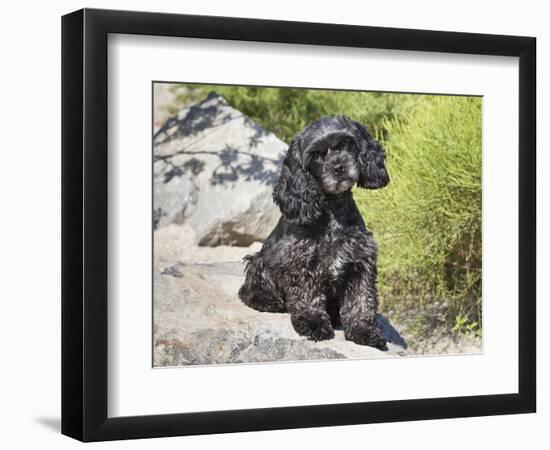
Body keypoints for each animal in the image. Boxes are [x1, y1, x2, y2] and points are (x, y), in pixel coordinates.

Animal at [239, 115, 390, 348]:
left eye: (345, 144)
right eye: (316, 155)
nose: (339, 167)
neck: (333, 211)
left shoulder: (361, 262)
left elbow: (361, 300)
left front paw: (364, 331)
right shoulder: (301, 262)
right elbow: (308, 297)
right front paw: (314, 323)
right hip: (259, 261)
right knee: (248, 291)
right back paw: (269, 300)